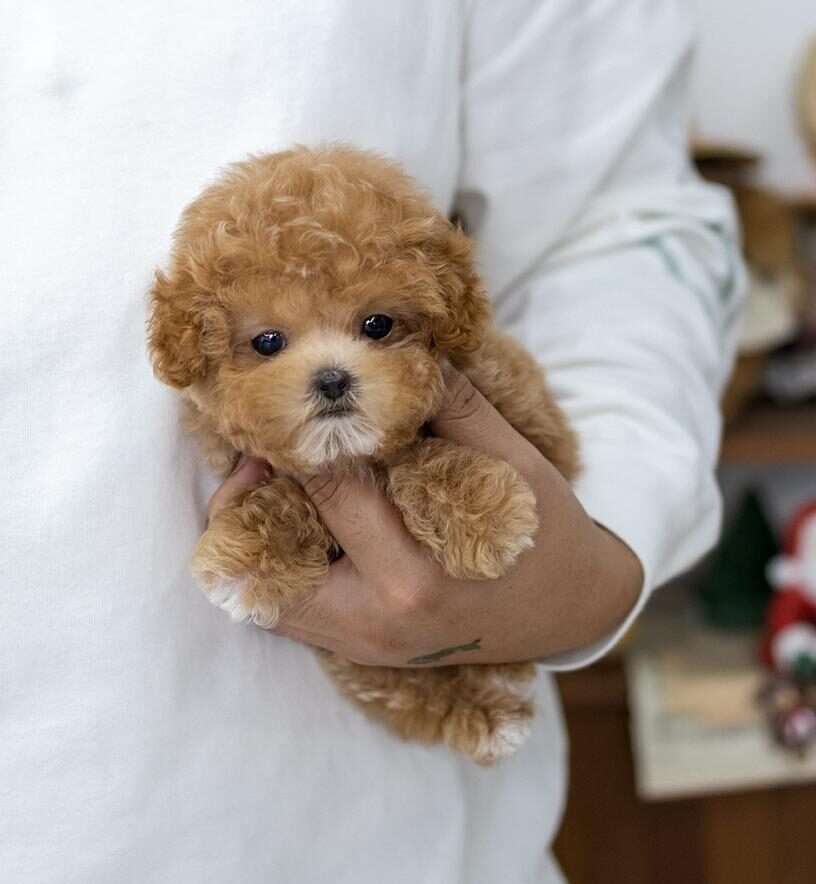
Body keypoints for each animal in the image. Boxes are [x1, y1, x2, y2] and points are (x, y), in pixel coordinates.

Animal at [148, 147, 580, 768]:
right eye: (267, 342)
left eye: (378, 324)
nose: (332, 379)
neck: (348, 449)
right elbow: (290, 491)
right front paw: (251, 556)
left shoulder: (533, 423)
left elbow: (417, 453)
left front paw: (481, 514)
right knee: (410, 691)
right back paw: (486, 716)